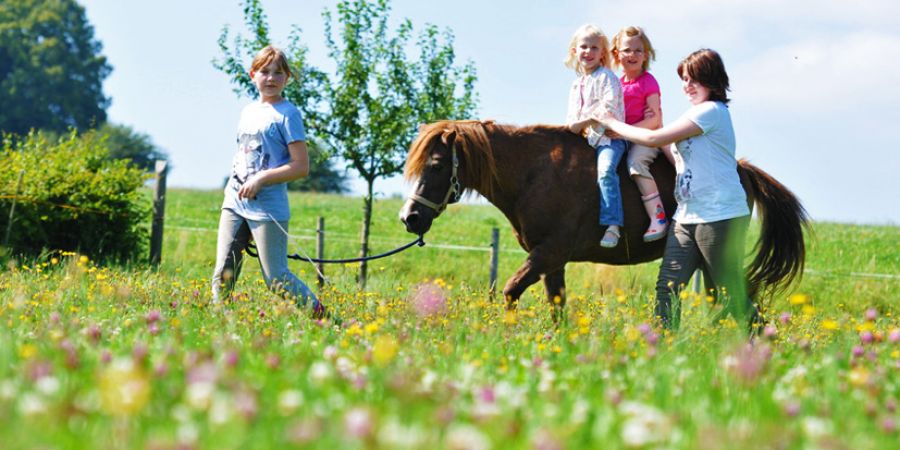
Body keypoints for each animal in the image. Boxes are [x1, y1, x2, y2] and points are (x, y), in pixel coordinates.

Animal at [399, 120, 807, 322]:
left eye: (436, 164)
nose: (409, 217)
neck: (535, 172)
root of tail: (742, 170)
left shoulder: (548, 254)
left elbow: (510, 292)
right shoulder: (551, 262)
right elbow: (557, 308)